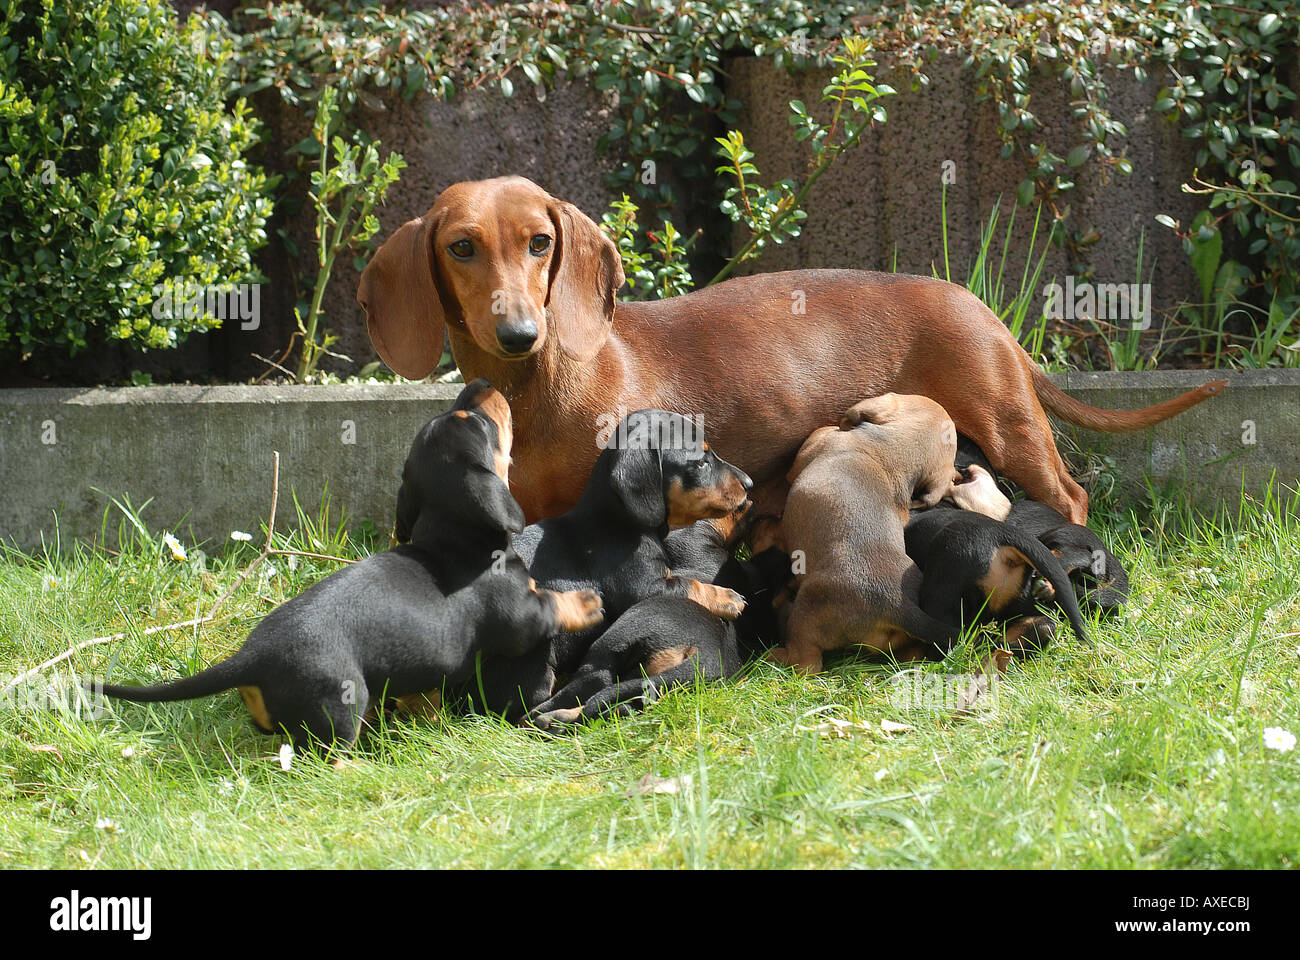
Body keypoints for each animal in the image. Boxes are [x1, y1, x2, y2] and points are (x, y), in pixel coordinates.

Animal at [358, 175, 1227, 528]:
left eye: (541, 242)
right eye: (462, 247)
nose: (519, 332)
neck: (538, 386)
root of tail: (981, 307)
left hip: (1012, 425)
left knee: (1071, 496)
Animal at [467, 408, 754, 712]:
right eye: (700, 462)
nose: (750, 484)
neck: (618, 520)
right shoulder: (643, 588)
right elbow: (689, 584)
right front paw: (728, 598)